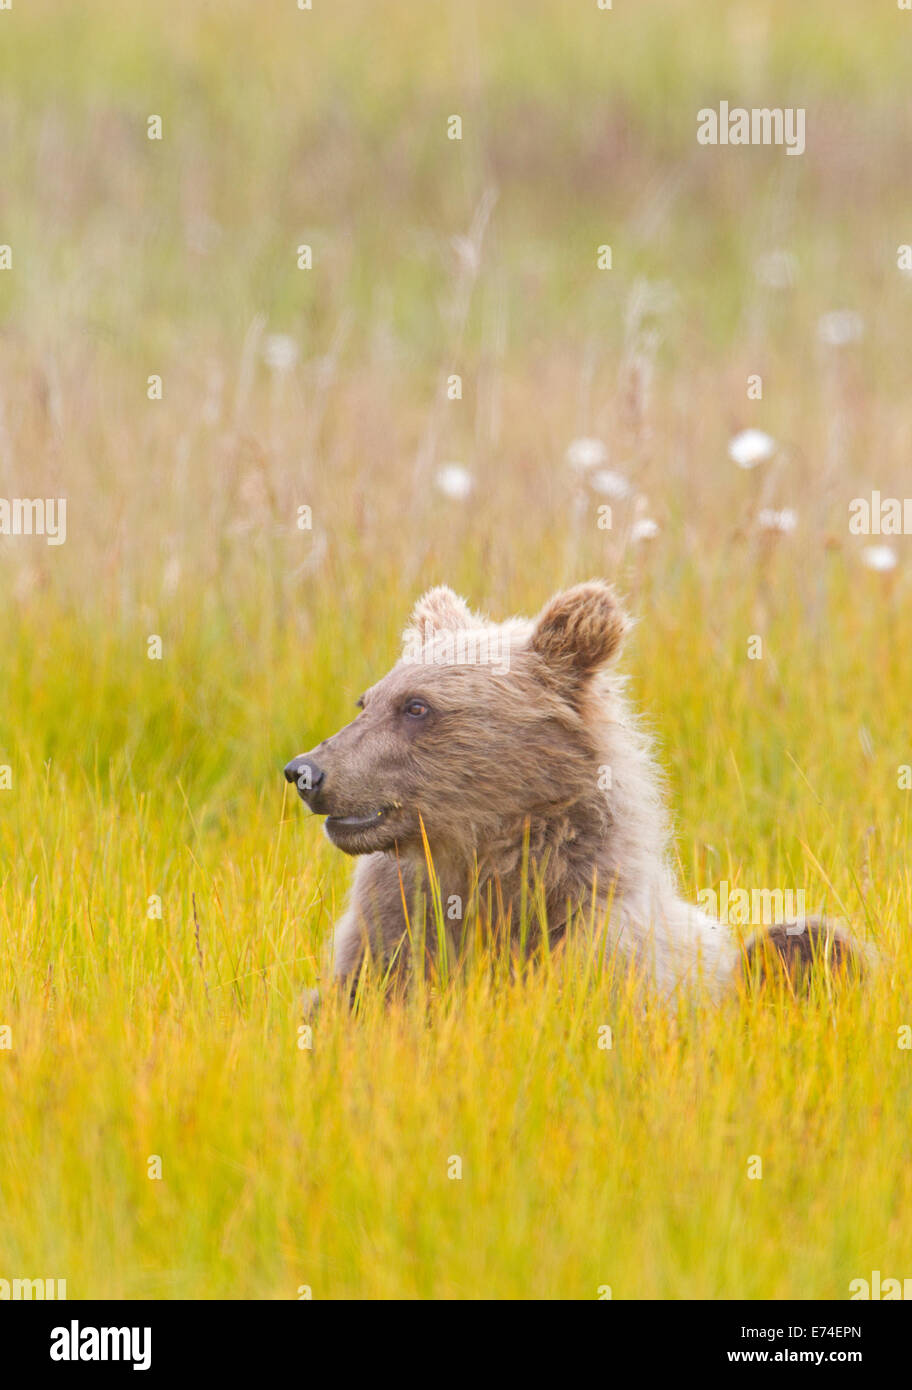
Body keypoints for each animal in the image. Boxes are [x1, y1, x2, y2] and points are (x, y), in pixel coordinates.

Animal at [284, 581, 857, 1003]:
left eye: (417, 706)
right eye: (366, 702)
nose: (305, 771)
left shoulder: (603, 944)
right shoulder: (391, 927)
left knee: (809, 942)